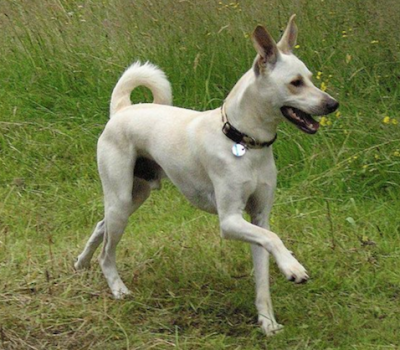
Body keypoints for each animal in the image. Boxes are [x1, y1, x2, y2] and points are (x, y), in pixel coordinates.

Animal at [74, 15, 338, 334]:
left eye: (310, 77)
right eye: (296, 83)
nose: (333, 104)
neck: (243, 142)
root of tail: (122, 110)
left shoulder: (258, 217)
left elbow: (263, 270)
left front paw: (267, 322)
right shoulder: (230, 220)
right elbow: (274, 238)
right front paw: (293, 267)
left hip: (134, 196)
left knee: (101, 226)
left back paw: (81, 262)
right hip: (121, 199)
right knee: (107, 252)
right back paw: (117, 288)